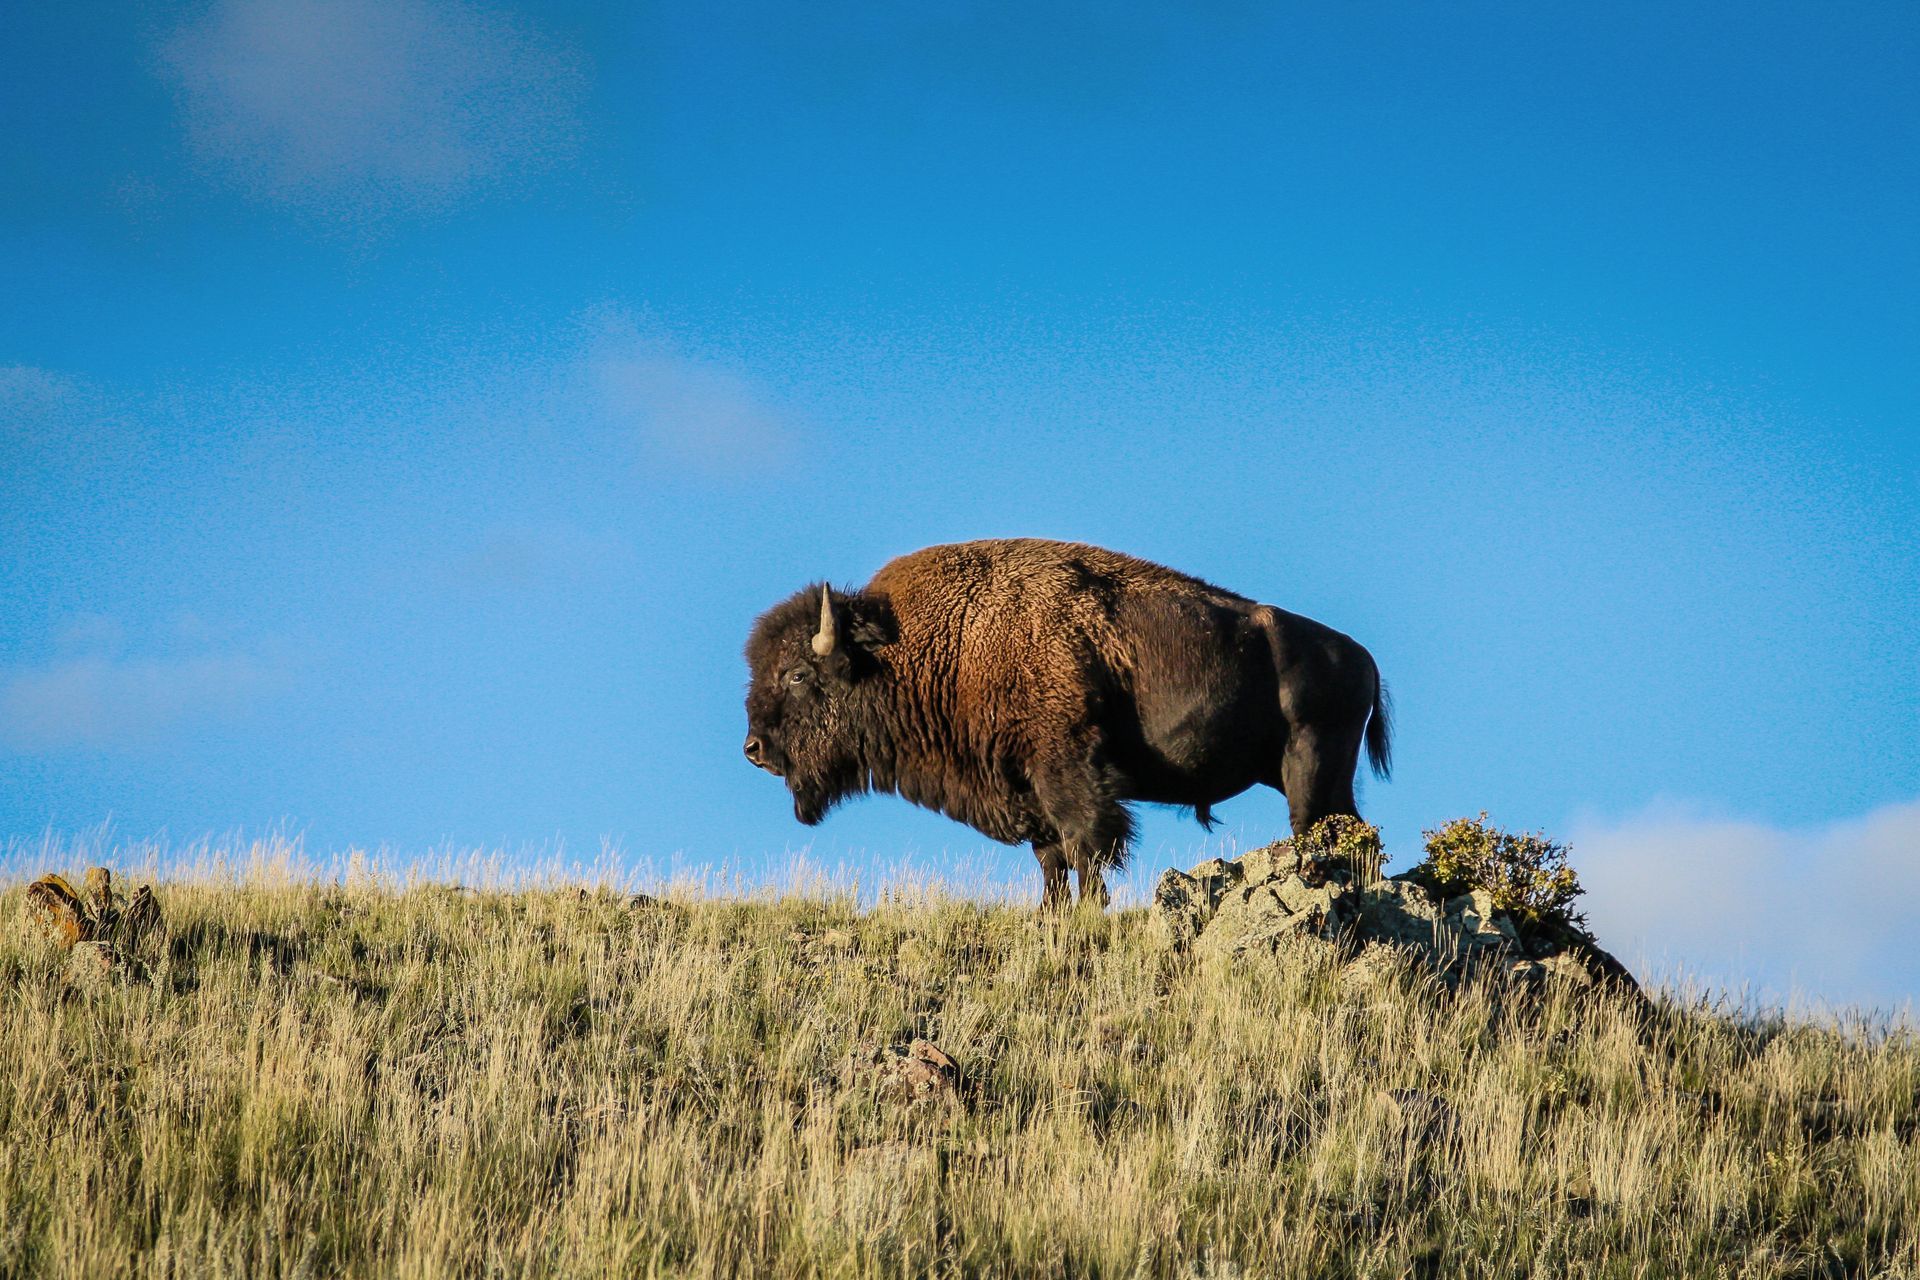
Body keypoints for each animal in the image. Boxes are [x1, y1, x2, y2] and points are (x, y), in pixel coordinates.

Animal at [743, 539, 1390, 908]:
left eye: (797, 675)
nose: (754, 749)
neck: (928, 645)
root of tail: (1362, 657)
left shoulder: (1069, 774)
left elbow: (1087, 847)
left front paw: (1089, 913)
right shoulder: (1025, 794)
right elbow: (1051, 860)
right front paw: (1051, 918)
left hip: (1310, 771)